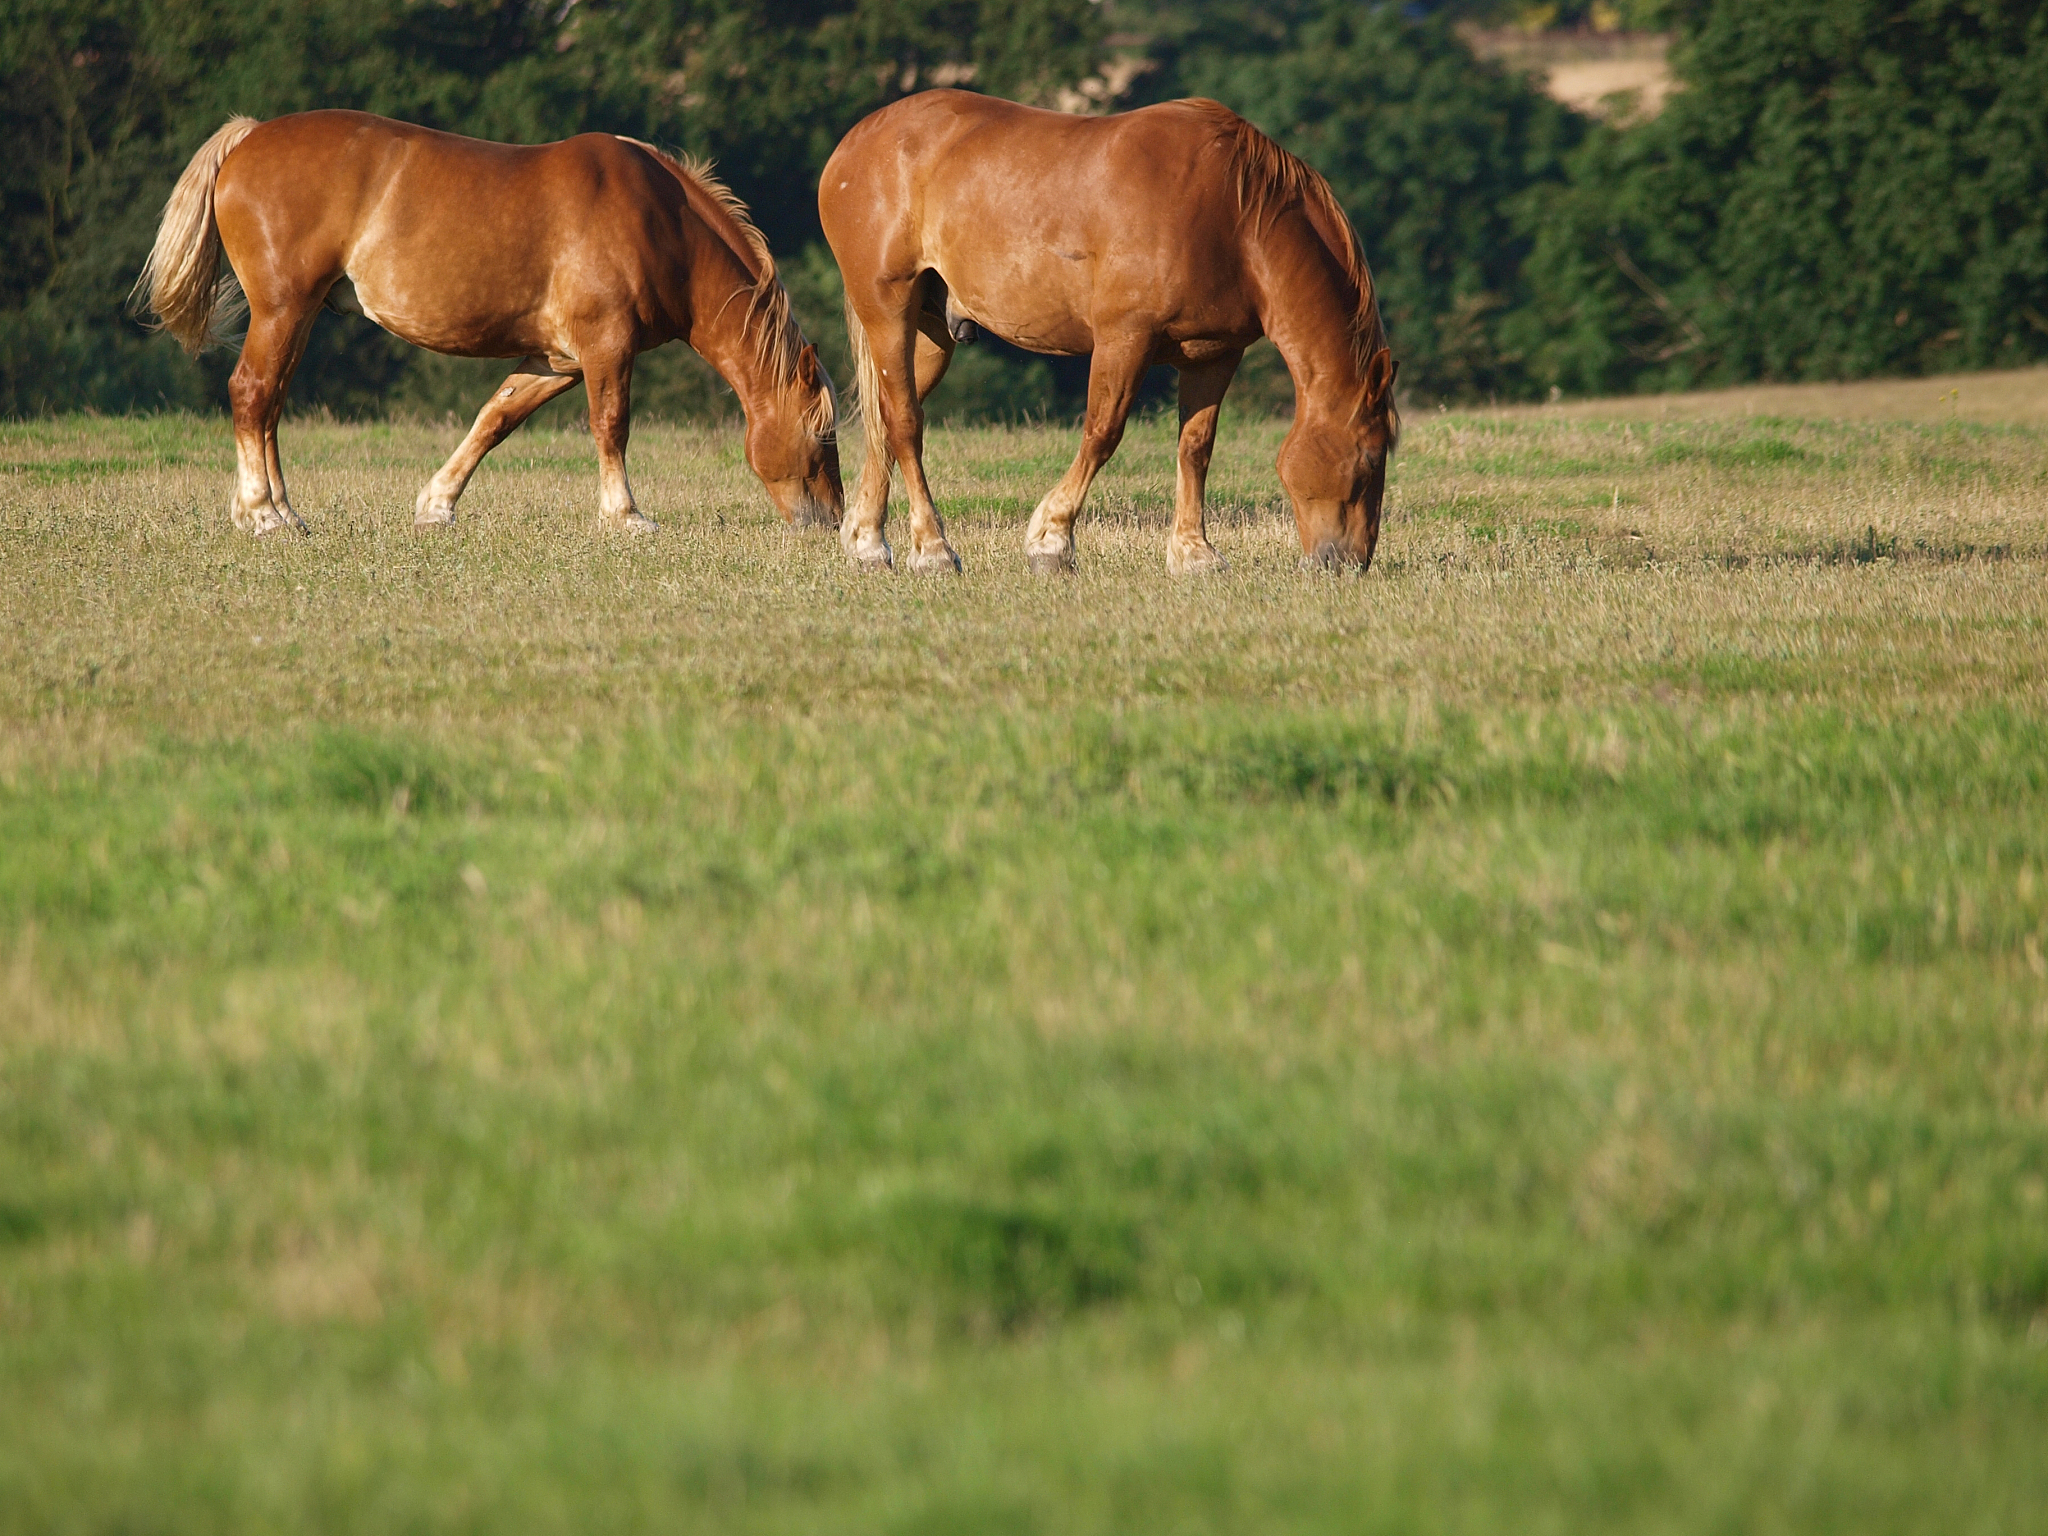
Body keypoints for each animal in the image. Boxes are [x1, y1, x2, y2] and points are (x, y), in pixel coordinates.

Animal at [133, 110, 841, 537]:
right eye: (824, 435)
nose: (832, 520)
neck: (658, 220)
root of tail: (249, 137)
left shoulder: (558, 361)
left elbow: (494, 420)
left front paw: (437, 504)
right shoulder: (606, 348)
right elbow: (611, 426)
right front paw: (625, 516)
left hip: (297, 318)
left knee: (270, 403)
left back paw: (278, 508)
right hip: (282, 310)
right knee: (251, 394)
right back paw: (264, 513)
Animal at [819, 92, 1398, 575]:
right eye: (1370, 461)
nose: (1348, 563)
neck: (1233, 219)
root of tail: (854, 142)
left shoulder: (1215, 354)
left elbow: (1196, 446)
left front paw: (1194, 552)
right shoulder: (1125, 339)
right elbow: (1103, 432)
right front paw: (1051, 541)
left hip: (931, 333)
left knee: (886, 417)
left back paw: (867, 542)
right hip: (888, 309)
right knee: (904, 422)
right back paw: (934, 549)